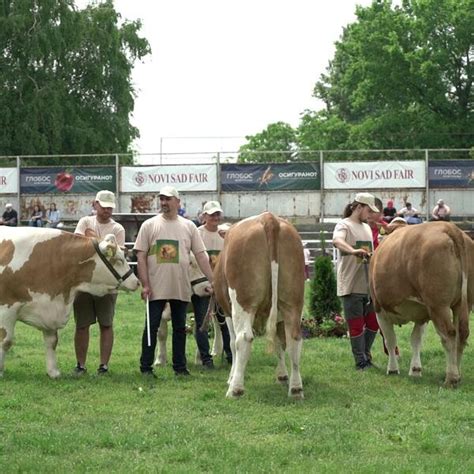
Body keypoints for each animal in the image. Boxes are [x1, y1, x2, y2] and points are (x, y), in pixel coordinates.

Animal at [0, 226, 140, 378]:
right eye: (119, 259)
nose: (137, 282)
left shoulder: (51, 306)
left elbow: (52, 341)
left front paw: (53, 372)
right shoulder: (6, 308)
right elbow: (5, 341)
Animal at [214, 213, 306, 398]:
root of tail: (268, 218)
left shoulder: (228, 312)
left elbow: (232, 343)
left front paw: (231, 377)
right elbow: (279, 343)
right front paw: (282, 375)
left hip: (242, 302)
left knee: (243, 338)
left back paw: (235, 389)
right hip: (293, 300)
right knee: (293, 338)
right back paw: (296, 388)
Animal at [372, 220, 472, 386]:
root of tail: (450, 228)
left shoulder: (379, 309)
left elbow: (390, 340)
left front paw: (392, 369)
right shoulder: (423, 315)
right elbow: (416, 340)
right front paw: (415, 370)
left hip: (438, 305)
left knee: (449, 335)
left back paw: (451, 378)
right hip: (463, 303)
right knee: (461, 334)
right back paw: (457, 374)